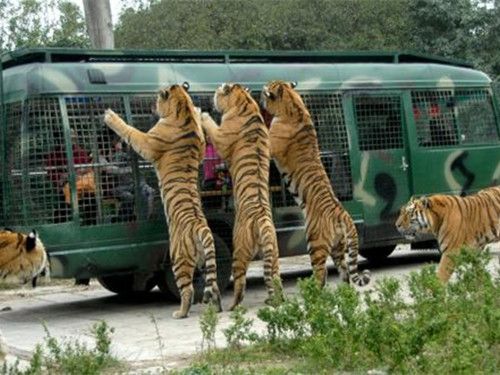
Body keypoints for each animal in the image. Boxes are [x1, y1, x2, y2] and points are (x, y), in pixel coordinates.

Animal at [102, 83, 222, 320]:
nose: (151, 104)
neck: (182, 111)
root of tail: (201, 227)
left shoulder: (148, 142)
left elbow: (130, 131)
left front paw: (111, 116)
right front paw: (199, 111)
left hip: (178, 258)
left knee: (188, 289)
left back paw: (180, 313)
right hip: (207, 259)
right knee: (214, 286)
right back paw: (219, 308)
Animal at [262, 81, 372, 290]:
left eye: (266, 92)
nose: (260, 98)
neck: (294, 104)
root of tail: (343, 215)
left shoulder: (270, 145)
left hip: (315, 243)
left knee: (322, 273)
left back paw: (312, 289)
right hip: (338, 247)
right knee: (345, 272)